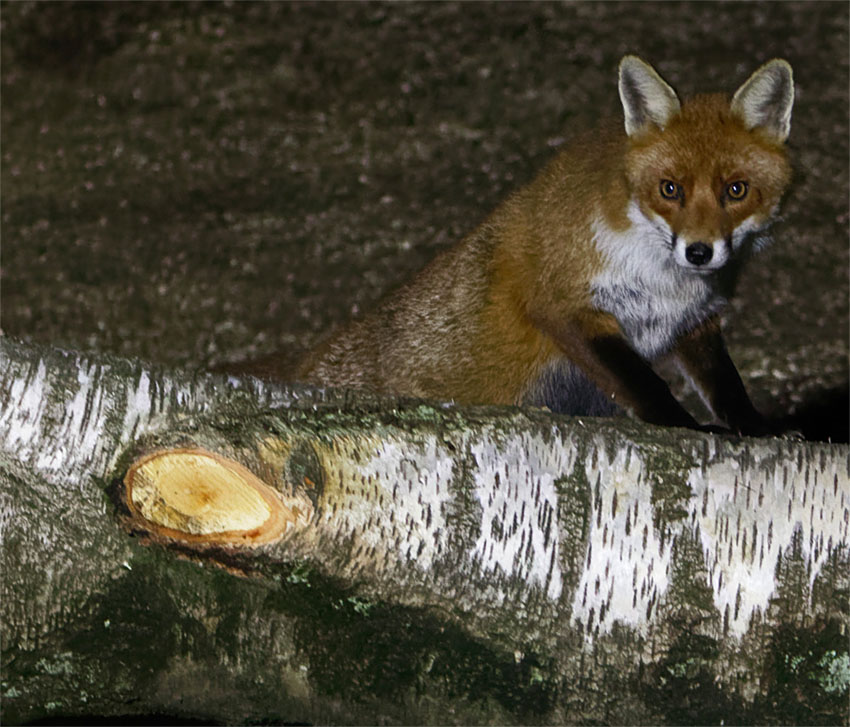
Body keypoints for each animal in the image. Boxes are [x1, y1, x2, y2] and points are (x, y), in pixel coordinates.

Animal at [291, 56, 794, 434]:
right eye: (669, 190)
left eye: (736, 190)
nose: (699, 252)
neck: (664, 281)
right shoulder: (564, 303)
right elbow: (648, 385)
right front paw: (683, 425)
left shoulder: (695, 321)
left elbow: (727, 389)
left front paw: (757, 429)